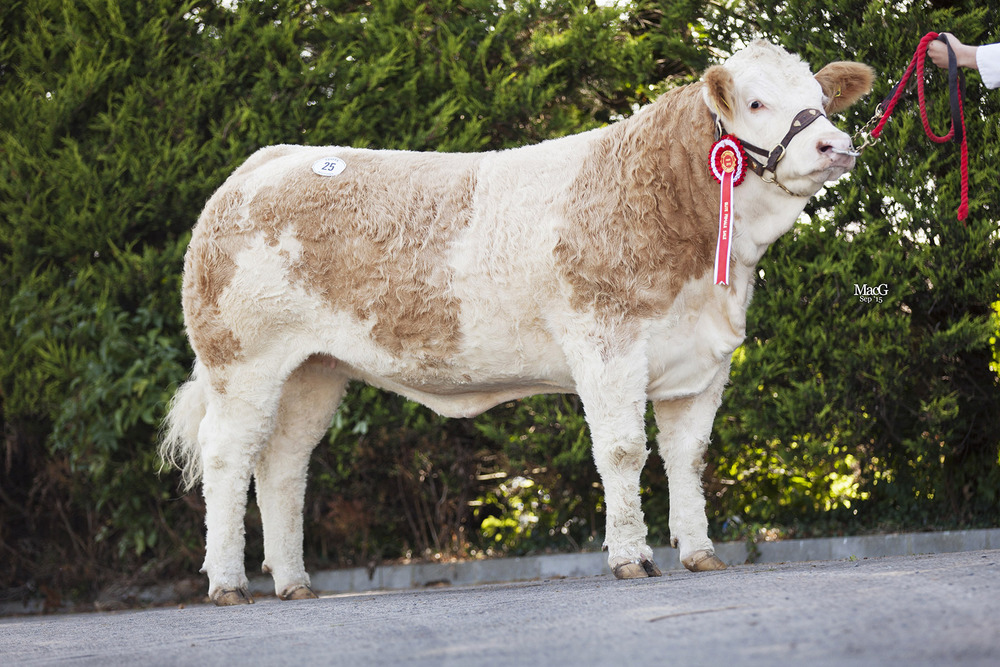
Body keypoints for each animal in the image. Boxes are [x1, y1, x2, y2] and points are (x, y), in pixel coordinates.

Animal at [160, 40, 872, 604]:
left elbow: (688, 457)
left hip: (314, 370)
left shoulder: (703, 360)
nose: (836, 144)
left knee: (283, 464)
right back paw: (228, 585)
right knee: (227, 456)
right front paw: (632, 558)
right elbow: (623, 450)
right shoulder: (605, 343)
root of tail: (264, 163)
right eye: (756, 104)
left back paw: (294, 582)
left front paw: (699, 553)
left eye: (822, 100)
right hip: (242, 360)